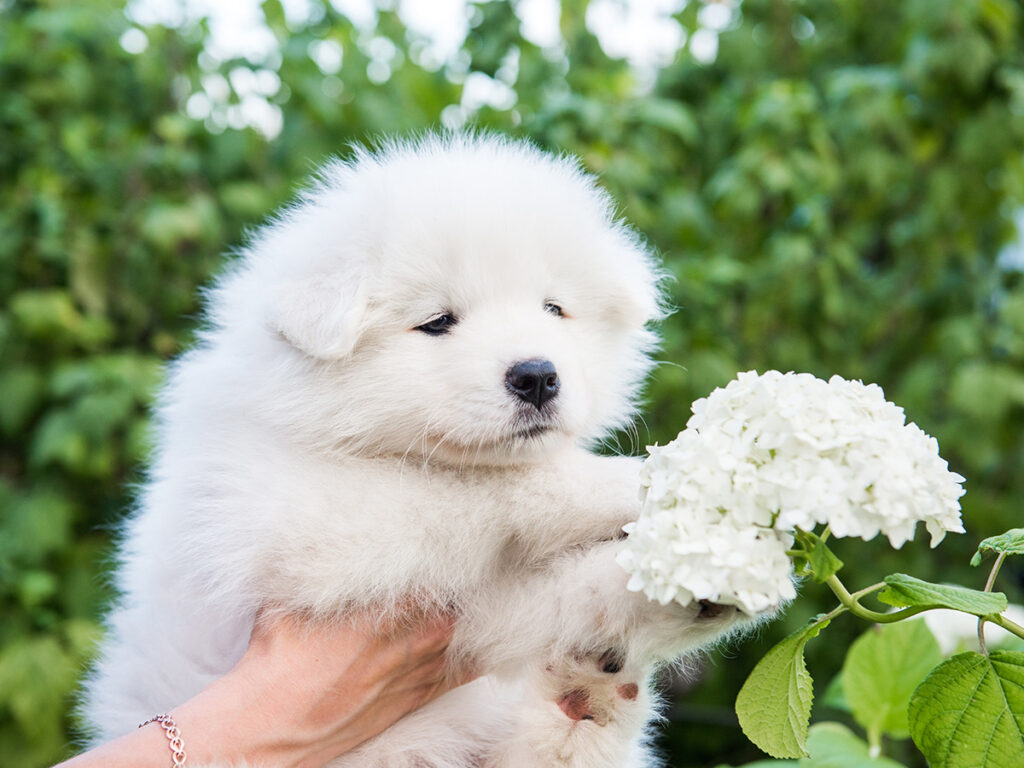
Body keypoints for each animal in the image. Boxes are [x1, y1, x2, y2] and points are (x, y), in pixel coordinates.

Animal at [77, 135, 745, 765]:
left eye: (554, 309)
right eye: (437, 321)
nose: (536, 376)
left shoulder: (465, 613)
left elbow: (551, 591)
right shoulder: (307, 524)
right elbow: (505, 489)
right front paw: (645, 479)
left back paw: (590, 699)